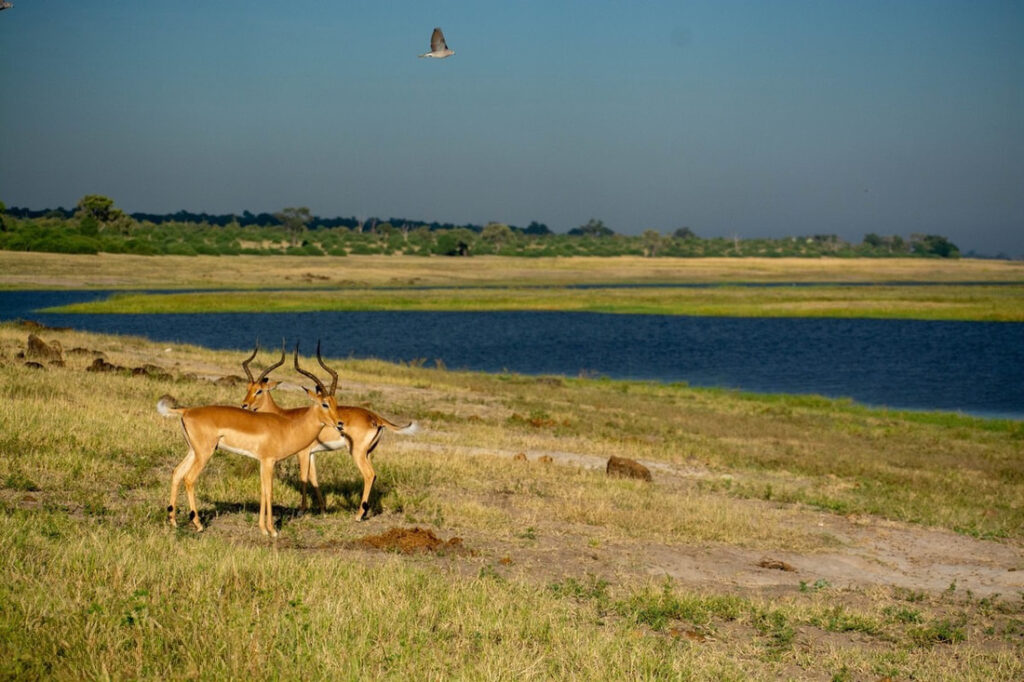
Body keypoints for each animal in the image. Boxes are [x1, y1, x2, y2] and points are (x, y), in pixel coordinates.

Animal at [158, 345, 345, 537]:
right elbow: (269, 492)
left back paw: (173, 522)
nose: (340, 423)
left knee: (177, 472)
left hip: (193, 451)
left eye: (335, 402)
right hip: (204, 453)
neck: (288, 428)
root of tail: (186, 411)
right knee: (189, 478)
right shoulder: (269, 461)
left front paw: (262, 528)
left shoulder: (263, 462)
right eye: (324, 404)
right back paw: (198, 524)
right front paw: (272, 530)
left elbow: (263, 491)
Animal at [240, 342, 419, 521]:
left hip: (357, 452)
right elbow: (314, 479)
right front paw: (323, 509)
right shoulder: (311, 454)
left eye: (259, 390)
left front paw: (301, 510)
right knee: (373, 475)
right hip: (367, 453)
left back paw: (358, 515)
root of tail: (376, 418)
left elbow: (304, 477)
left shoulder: (302, 453)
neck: (285, 416)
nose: (244, 405)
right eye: (248, 388)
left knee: (369, 475)